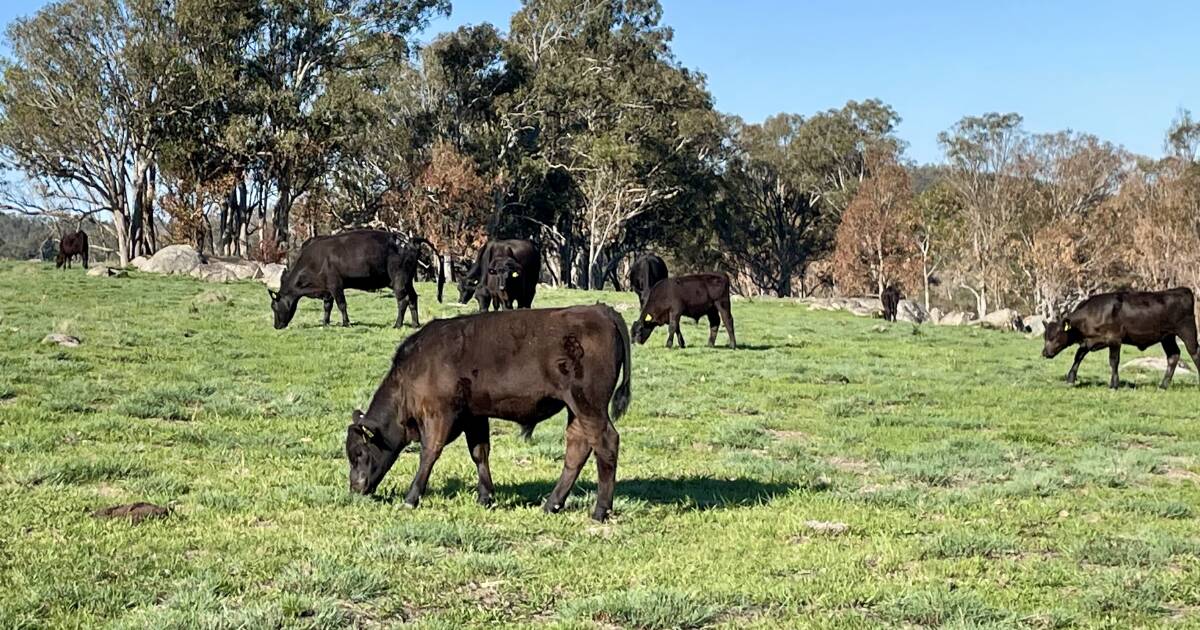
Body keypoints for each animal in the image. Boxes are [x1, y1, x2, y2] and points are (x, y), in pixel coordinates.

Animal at [267, 230, 446, 328]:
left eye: (274, 307)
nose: (276, 326)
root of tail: (409, 241)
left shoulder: (335, 285)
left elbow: (341, 305)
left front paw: (346, 323)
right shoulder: (327, 289)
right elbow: (327, 306)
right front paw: (325, 323)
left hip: (399, 280)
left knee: (403, 301)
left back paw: (397, 324)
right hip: (407, 280)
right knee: (413, 298)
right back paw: (415, 324)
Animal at [345, 304, 633, 520]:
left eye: (359, 453)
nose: (355, 487)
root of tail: (600, 310)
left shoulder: (439, 415)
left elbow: (429, 454)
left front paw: (411, 498)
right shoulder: (474, 417)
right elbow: (479, 453)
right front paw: (486, 497)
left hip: (588, 404)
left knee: (606, 443)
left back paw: (600, 510)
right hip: (576, 409)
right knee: (578, 448)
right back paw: (551, 504)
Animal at [1041, 285, 1200, 388]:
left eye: (1055, 336)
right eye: (1045, 336)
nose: (1044, 353)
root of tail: (1182, 290)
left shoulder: (1114, 339)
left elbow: (1113, 361)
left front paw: (1114, 384)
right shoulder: (1089, 341)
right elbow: (1078, 356)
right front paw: (1070, 379)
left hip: (1187, 331)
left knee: (1195, 353)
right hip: (1167, 336)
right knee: (1173, 356)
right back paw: (1163, 385)